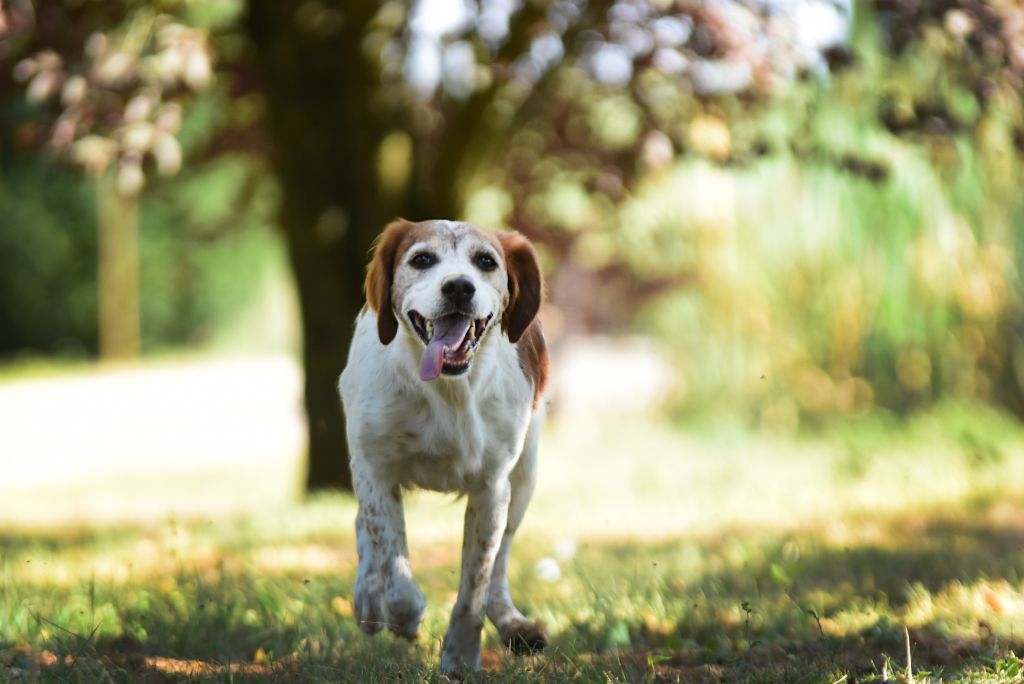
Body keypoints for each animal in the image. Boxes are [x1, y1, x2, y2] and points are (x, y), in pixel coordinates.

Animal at [337, 219, 548, 671]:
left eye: (485, 261)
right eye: (421, 259)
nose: (458, 287)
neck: (447, 389)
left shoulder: (492, 487)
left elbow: (476, 583)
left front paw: (461, 656)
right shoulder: (375, 470)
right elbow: (394, 570)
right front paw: (403, 617)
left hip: (525, 477)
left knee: (502, 560)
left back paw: (513, 623)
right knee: (363, 528)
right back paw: (368, 601)